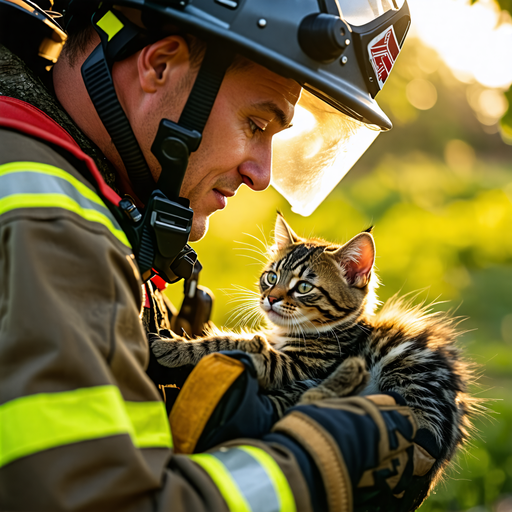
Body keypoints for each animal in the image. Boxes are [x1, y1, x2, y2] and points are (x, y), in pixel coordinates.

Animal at [150, 214, 478, 474]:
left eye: (304, 287)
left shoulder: (298, 366)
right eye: (271, 277)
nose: (270, 298)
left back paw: (347, 376)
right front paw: (253, 341)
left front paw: (174, 348)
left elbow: (227, 343)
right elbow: (249, 343)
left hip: (407, 371)